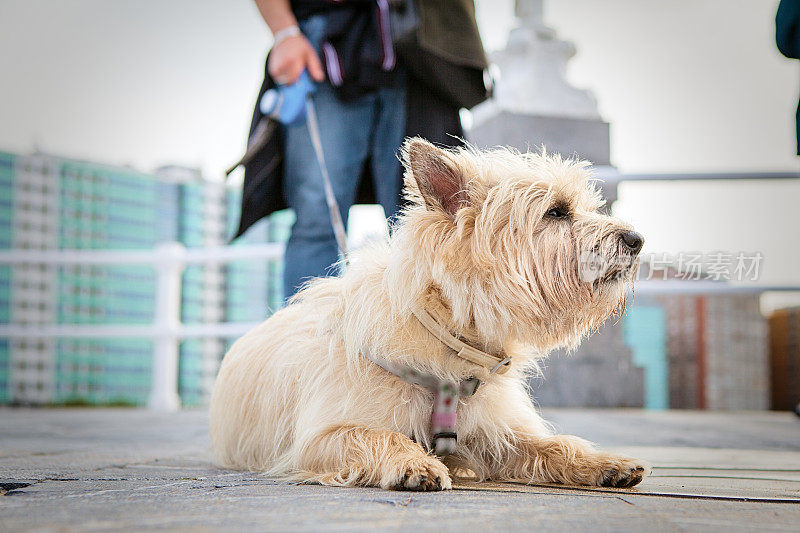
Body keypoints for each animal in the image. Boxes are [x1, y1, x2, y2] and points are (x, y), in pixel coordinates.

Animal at [211, 138, 648, 490]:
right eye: (556, 212)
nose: (637, 239)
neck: (448, 335)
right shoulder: (320, 436)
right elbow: (376, 435)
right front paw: (413, 463)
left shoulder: (495, 431)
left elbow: (551, 444)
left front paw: (604, 462)